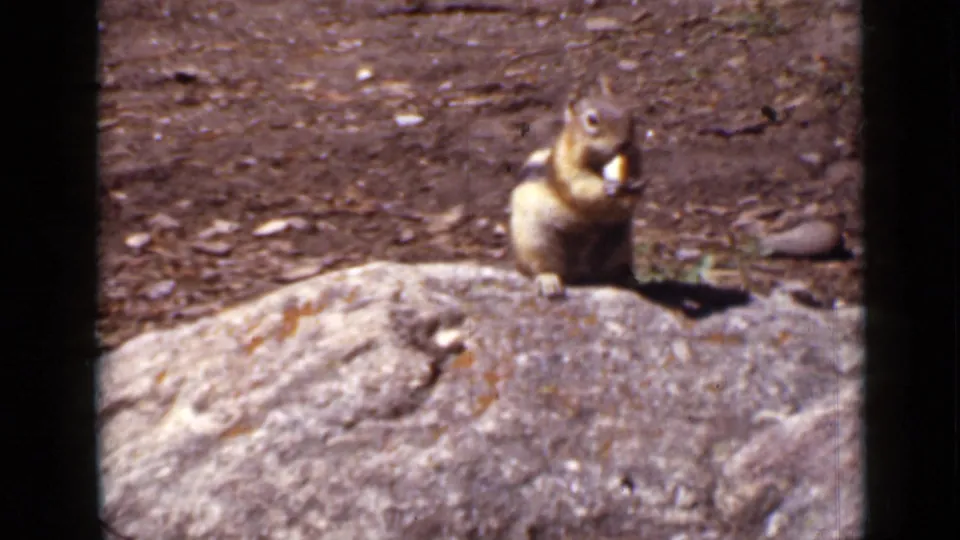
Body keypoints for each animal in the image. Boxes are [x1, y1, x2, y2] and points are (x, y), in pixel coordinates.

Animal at [508, 75, 646, 298]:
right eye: (592, 120)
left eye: (630, 112)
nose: (625, 143)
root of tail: (579, 275)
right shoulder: (568, 168)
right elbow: (581, 185)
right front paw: (610, 187)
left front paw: (636, 185)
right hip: (536, 240)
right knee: (542, 266)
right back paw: (549, 281)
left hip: (620, 244)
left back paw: (628, 279)